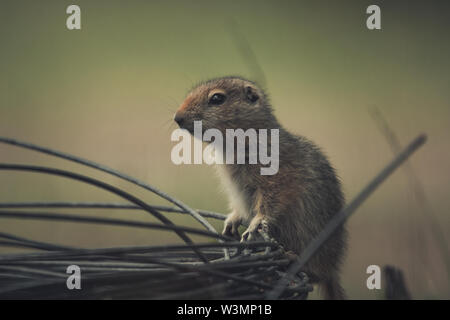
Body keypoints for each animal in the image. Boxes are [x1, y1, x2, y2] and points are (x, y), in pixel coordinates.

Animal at [174, 76, 346, 298]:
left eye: (217, 98)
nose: (177, 118)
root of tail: (332, 271)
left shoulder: (278, 180)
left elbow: (270, 204)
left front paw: (255, 224)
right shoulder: (237, 191)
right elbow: (239, 208)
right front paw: (231, 222)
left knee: (313, 273)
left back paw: (291, 258)